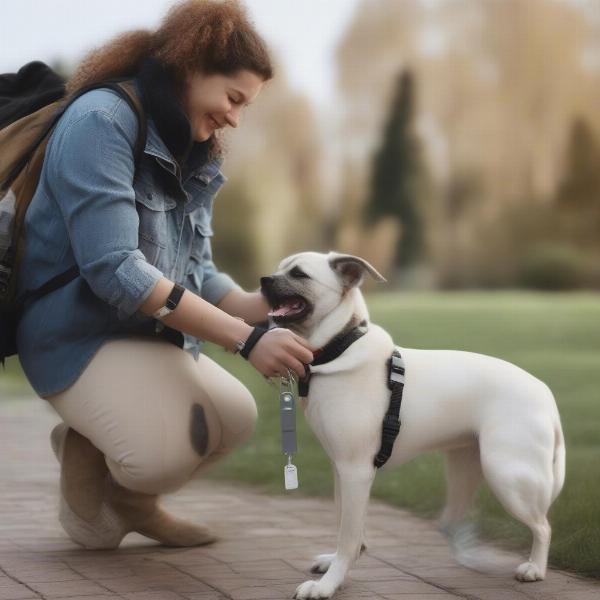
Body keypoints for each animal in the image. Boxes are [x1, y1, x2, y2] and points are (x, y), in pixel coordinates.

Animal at [260, 251, 564, 600]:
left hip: (507, 474)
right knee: (458, 517)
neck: (340, 344)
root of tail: (545, 394)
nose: (262, 281)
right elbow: (343, 524)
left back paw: (535, 568)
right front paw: (334, 563)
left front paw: (328, 585)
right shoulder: (341, 469)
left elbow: (348, 535)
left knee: (543, 526)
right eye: (280, 268)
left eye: (299, 274)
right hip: (465, 467)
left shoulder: (355, 471)